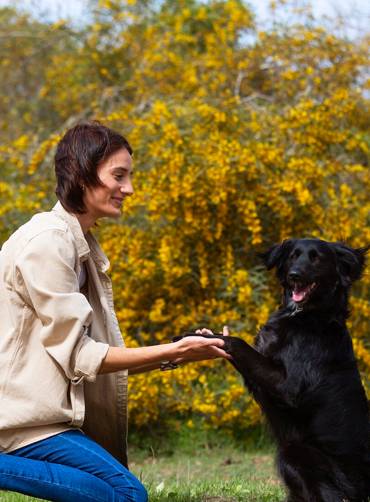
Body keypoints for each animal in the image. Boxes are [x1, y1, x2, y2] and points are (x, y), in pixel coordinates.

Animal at [178, 239, 368, 502]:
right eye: (293, 255)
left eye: (317, 258)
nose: (294, 275)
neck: (306, 315)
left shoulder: (288, 387)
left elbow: (237, 343)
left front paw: (191, 338)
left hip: (294, 451)